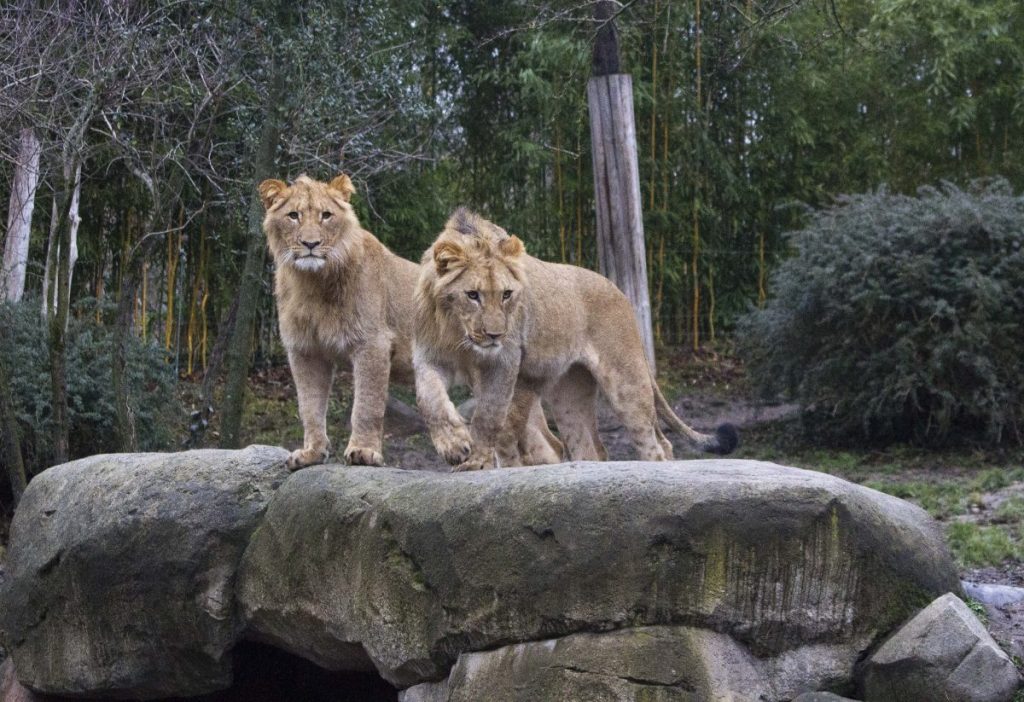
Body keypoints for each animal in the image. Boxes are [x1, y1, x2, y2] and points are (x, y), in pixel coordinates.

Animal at [256, 176, 561, 472]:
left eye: (326, 215)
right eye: (293, 216)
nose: (311, 244)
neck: (312, 283)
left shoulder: (372, 342)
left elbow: (366, 404)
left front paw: (363, 452)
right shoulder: (305, 351)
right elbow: (309, 406)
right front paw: (312, 453)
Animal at [411, 208, 741, 472]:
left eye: (506, 294)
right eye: (472, 295)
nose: (495, 335)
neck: (457, 332)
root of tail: (620, 292)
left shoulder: (505, 361)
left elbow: (490, 415)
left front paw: (477, 460)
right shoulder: (429, 356)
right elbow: (429, 400)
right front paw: (453, 446)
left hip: (626, 383)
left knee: (657, 444)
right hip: (569, 394)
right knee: (589, 448)